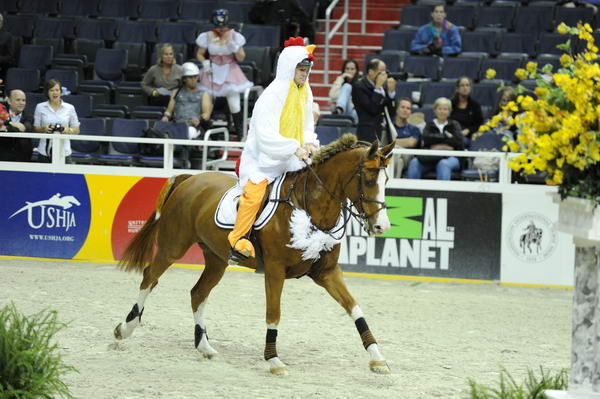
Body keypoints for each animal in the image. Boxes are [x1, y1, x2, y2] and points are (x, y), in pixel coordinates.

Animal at [115, 134, 396, 376]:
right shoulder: (274, 270)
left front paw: (377, 358)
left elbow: (355, 309)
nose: (381, 226)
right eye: (369, 180)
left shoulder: (326, 273)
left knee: (198, 293)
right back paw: (125, 328)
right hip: (173, 246)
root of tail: (189, 179)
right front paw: (273, 359)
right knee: (150, 277)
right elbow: (274, 313)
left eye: (386, 182)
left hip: (216, 259)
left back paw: (204, 346)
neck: (309, 207)